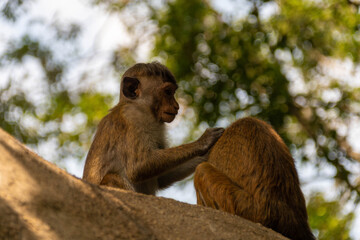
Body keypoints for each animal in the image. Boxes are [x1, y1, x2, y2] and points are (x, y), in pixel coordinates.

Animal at [82, 62, 224, 195]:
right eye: (168, 92)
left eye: (172, 93)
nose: (177, 106)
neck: (142, 106)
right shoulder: (132, 116)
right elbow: (138, 167)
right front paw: (203, 141)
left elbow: (162, 177)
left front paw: (207, 154)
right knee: (112, 177)